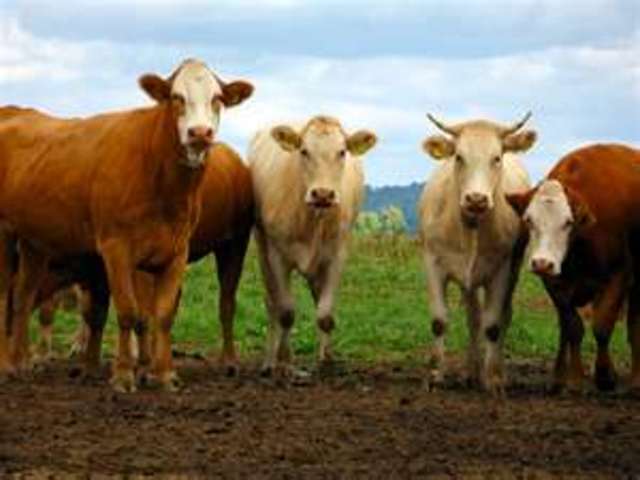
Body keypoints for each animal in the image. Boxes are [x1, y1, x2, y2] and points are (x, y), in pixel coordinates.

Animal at [0, 59, 253, 391]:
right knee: (7, 296)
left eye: (217, 98)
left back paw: (22, 362)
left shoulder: (176, 252)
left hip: (34, 241)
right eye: (176, 97)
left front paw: (163, 374)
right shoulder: (115, 249)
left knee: (23, 295)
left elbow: (162, 314)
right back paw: (8, 364)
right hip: (6, 235)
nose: (200, 132)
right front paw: (123, 374)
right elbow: (128, 311)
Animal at [248, 115, 377, 375]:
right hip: (261, 245)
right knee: (271, 302)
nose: (323, 194)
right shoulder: (277, 256)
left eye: (342, 151)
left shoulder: (337, 255)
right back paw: (269, 361)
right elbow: (286, 311)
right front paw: (285, 361)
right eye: (304, 151)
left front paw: (326, 361)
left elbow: (325, 315)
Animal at [419, 112, 536, 394]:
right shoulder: (433, 263)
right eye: (459, 157)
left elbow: (492, 325)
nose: (476, 199)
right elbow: (439, 320)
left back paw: (491, 372)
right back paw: (472, 372)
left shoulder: (502, 269)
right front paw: (435, 375)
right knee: (473, 317)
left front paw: (493, 379)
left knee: (502, 316)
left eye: (497, 157)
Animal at [506, 144, 640, 392]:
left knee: (634, 325)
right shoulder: (554, 283)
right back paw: (559, 377)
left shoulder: (619, 274)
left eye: (568, 222)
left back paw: (636, 378)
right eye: (529, 220)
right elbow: (573, 328)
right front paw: (576, 378)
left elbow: (602, 326)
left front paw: (605, 376)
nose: (542, 263)